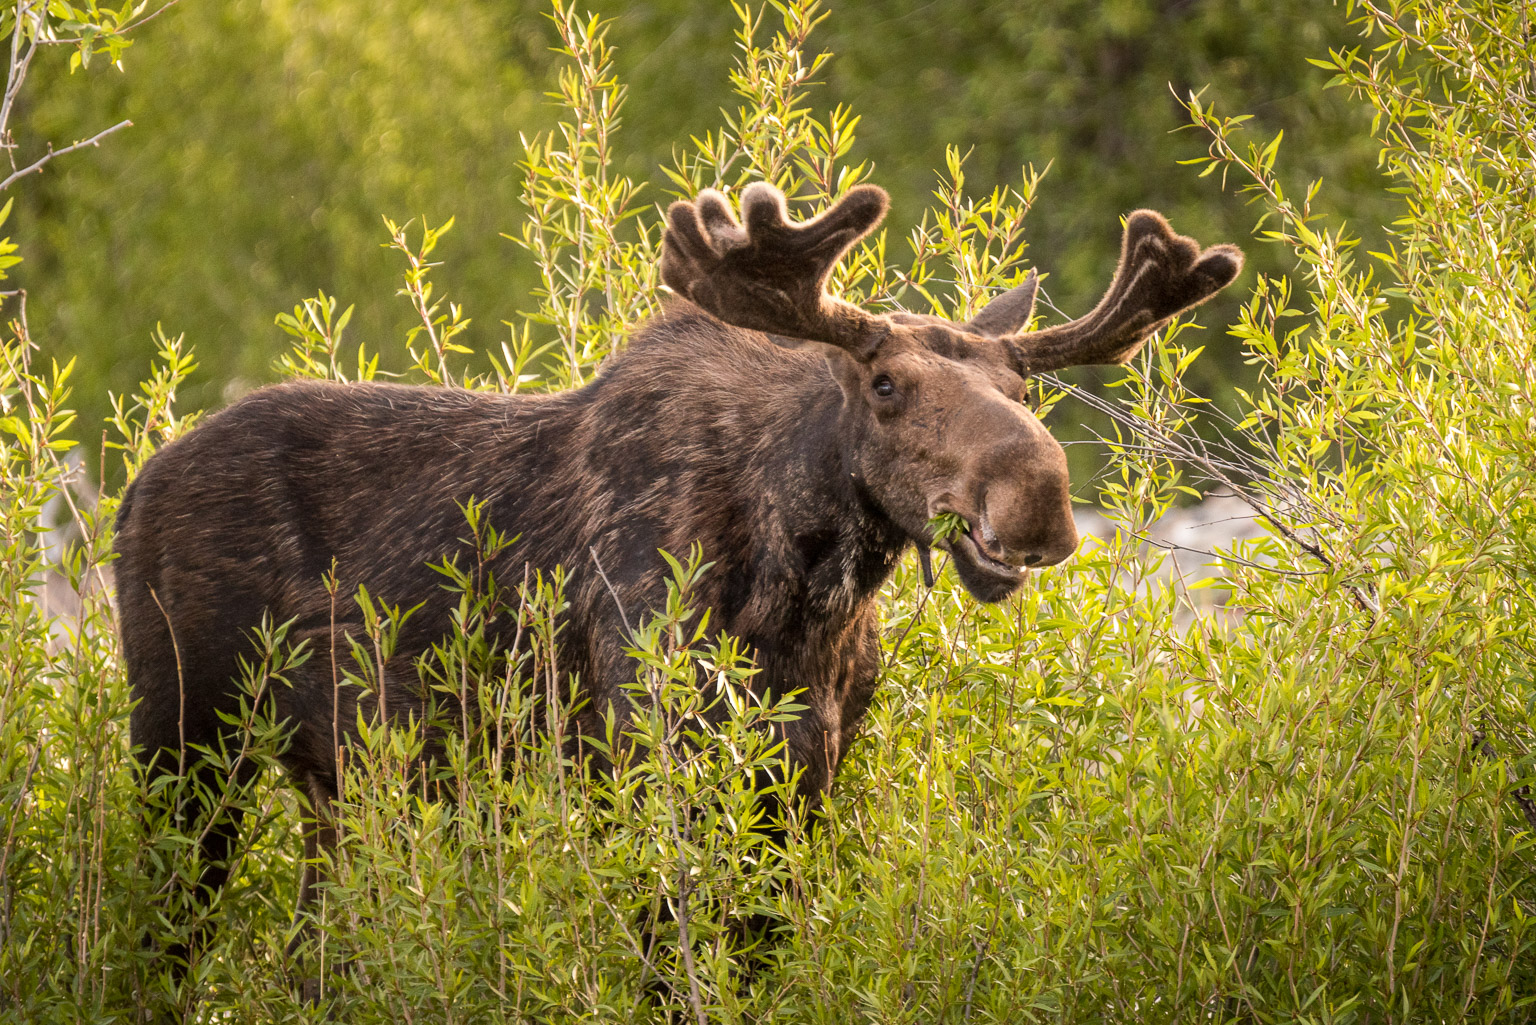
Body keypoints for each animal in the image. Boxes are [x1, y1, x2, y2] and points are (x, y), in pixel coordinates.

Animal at [114, 180, 1242, 993]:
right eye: (886, 385)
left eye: (1020, 388)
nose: (1040, 495)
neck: (808, 595)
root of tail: (133, 491)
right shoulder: (653, 758)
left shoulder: (807, 778)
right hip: (188, 739)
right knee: (167, 935)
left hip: (331, 786)